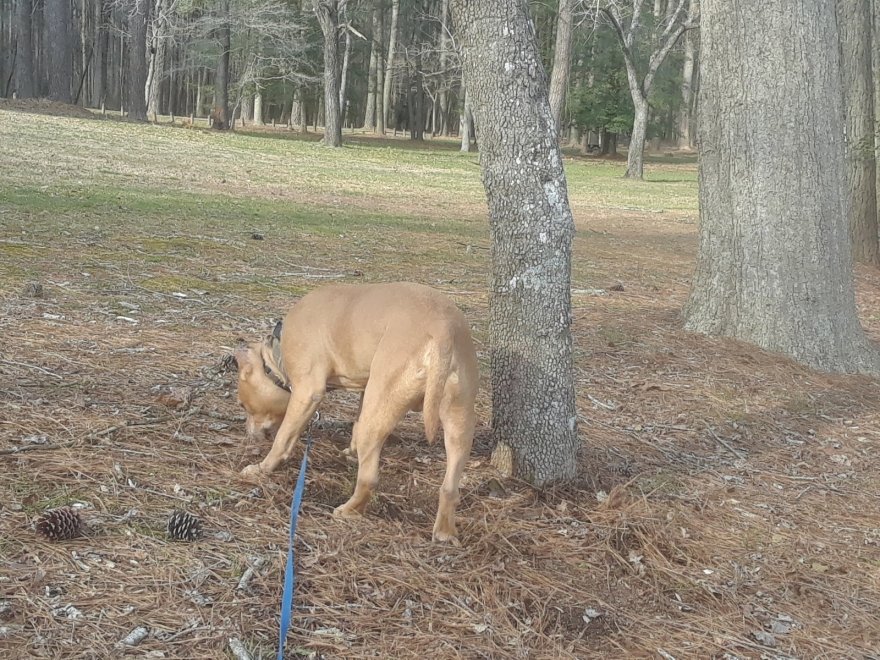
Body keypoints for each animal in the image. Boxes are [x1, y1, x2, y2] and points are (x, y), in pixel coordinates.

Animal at [234, 282, 478, 544]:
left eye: (243, 405)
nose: (248, 434)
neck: (276, 357)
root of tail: (442, 331)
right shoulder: (363, 390)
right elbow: (356, 423)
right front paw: (351, 451)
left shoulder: (308, 392)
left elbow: (283, 439)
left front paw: (261, 468)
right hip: (458, 420)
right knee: (450, 488)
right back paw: (444, 532)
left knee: (369, 478)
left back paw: (348, 510)